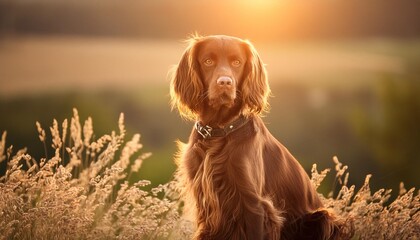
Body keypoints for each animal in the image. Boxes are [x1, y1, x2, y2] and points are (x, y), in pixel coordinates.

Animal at [169, 34, 350, 239]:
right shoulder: (206, 203)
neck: (219, 130)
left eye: (237, 62)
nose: (225, 82)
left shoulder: (254, 205)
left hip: (322, 218)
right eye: (208, 61)